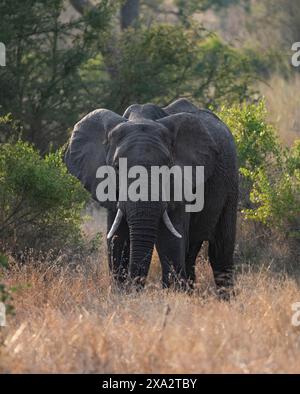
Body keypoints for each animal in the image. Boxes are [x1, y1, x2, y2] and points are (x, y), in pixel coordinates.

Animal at [64, 98, 238, 298]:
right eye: (116, 167)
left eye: (167, 166)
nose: (135, 290)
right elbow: (117, 239)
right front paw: (121, 295)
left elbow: (169, 241)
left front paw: (172, 296)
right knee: (191, 250)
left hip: (231, 182)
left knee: (220, 250)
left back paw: (225, 299)